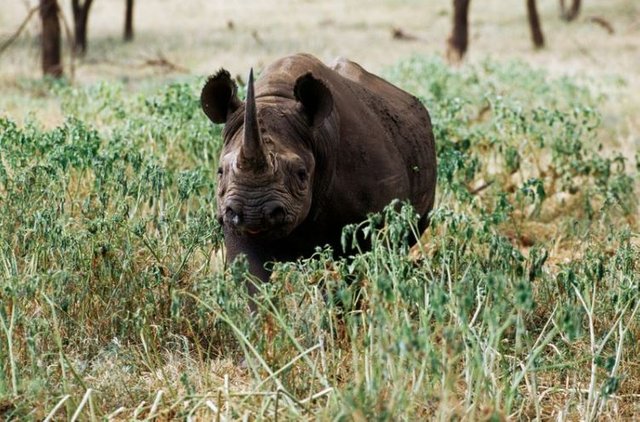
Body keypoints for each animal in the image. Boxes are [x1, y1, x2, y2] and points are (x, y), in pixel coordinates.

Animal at [202, 53, 438, 290]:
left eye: (301, 174)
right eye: (220, 172)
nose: (254, 212)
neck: (277, 98)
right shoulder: (232, 218)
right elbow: (251, 277)